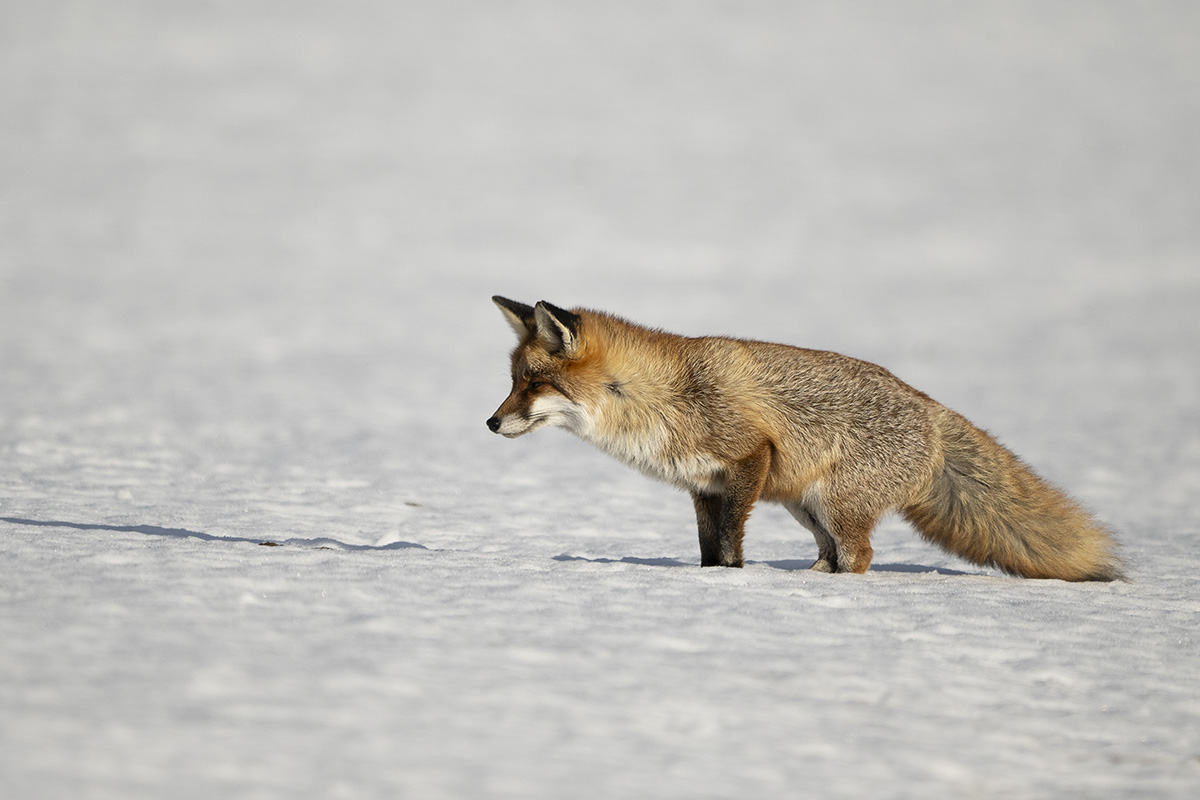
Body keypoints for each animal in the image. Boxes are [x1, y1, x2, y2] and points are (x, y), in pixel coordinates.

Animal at [484, 296, 1123, 582]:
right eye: (512, 382)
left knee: (860, 557)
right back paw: (809, 584)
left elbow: (731, 548)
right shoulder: (703, 487)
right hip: (805, 507)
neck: (659, 399)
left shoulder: (748, 458)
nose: (490, 424)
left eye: (533, 384)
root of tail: (931, 409)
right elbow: (709, 551)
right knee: (833, 555)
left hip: (834, 504)